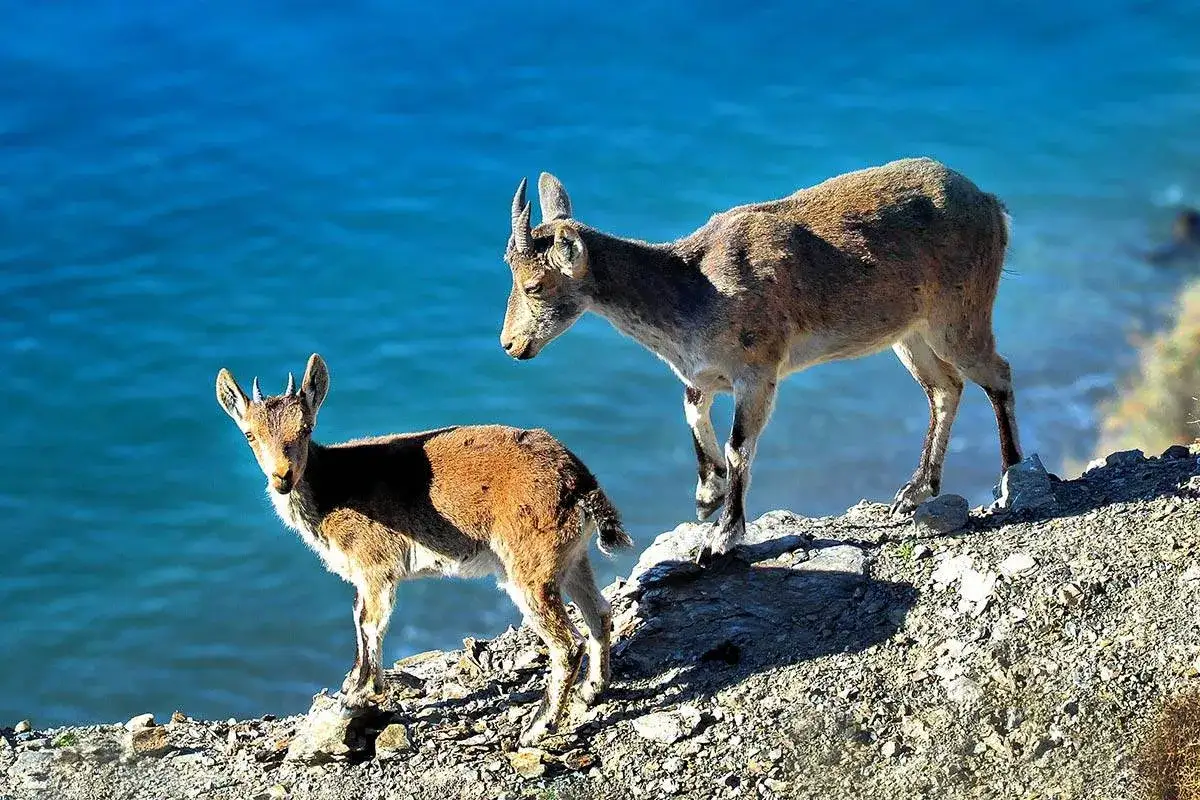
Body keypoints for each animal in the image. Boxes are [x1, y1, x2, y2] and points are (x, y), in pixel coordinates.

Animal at [215, 354, 631, 745]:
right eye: (249, 435)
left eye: (306, 428)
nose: (282, 477)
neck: (331, 490)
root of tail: (580, 483)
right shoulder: (362, 575)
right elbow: (357, 617)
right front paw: (352, 684)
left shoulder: (376, 566)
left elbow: (371, 623)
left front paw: (360, 696)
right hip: (571, 559)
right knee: (599, 612)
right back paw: (592, 692)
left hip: (529, 568)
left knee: (566, 645)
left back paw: (536, 728)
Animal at [499, 157, 1021, 563]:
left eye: (534, 286)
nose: (510, 345)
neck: (695, 289)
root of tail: (992, 205)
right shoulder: (703, 375)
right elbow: (693, 413)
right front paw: (706, 495)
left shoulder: (758, 373)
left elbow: (739, 447)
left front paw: (722, 536)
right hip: (910, 333)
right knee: (945, 387)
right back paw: (916, 491)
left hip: (958, 316)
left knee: (996, 373)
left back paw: (1011, 476)